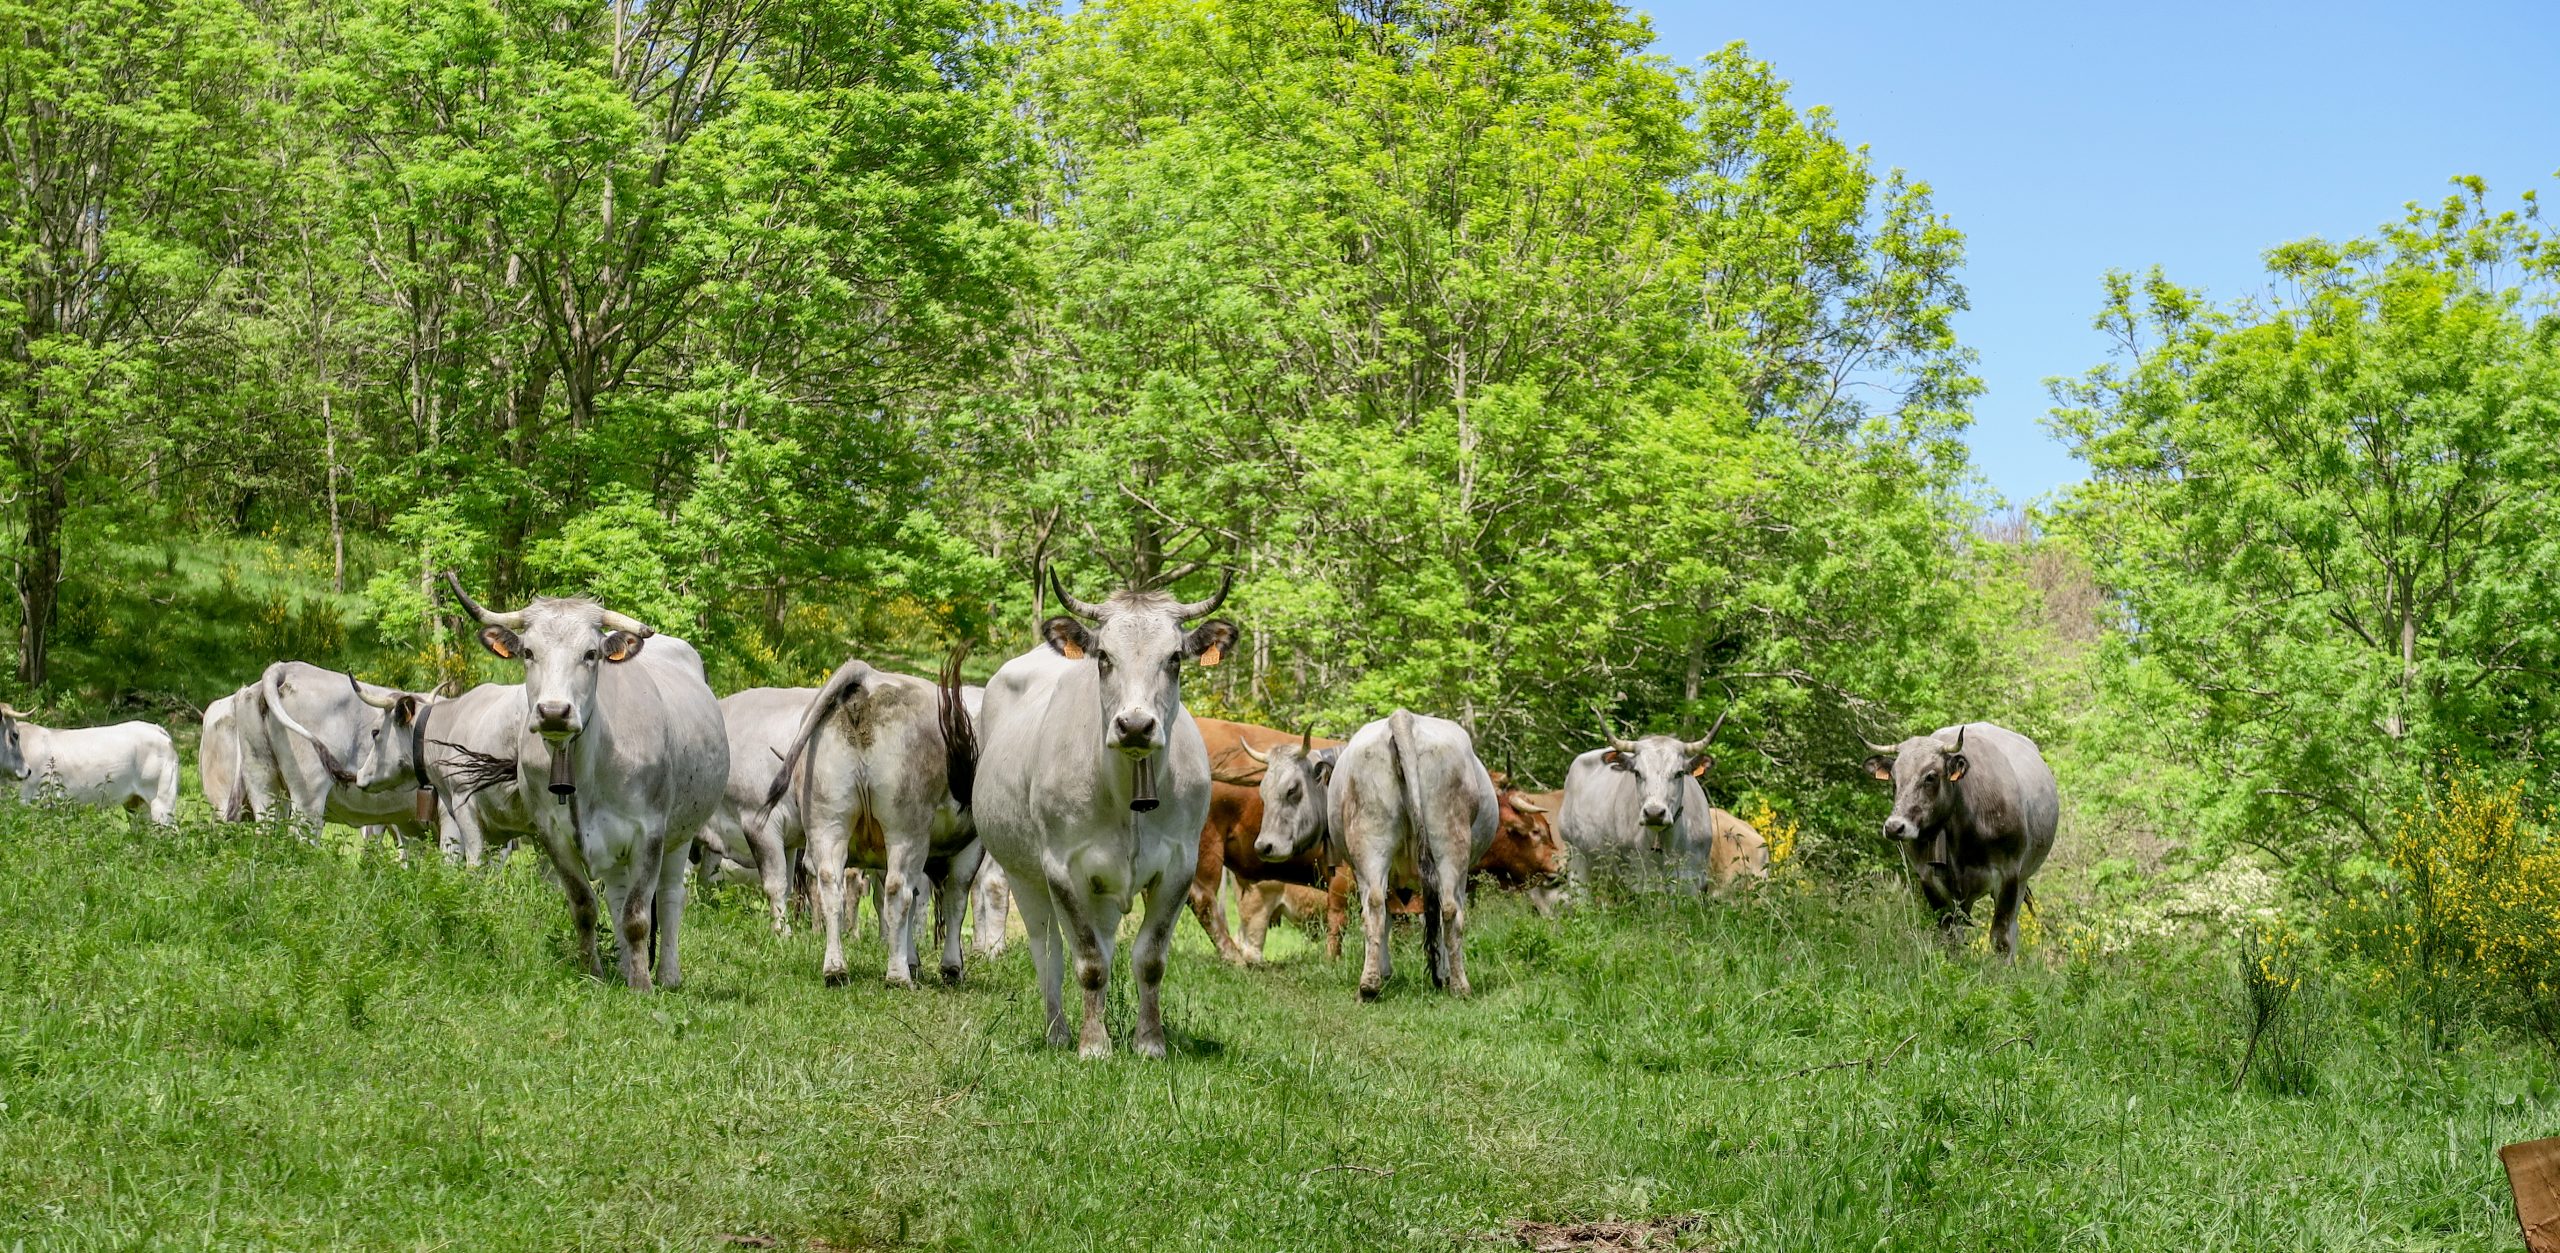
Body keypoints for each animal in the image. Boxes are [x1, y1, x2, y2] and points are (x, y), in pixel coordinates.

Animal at [444, 575, 728, 991]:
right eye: (528, 652)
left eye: (591, 654)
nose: (553, 712)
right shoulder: (551, 834)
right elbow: (585, 905)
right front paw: (592, 973)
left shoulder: (650, 832)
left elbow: (639, 915)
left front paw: (643, 985)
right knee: (616, 897)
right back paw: (625, 965)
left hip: (682, 833)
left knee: (670, 898)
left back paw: (667, 975)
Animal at [763, 659, 987, 989]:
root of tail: (868, 677)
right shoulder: (970, 847)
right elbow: (956, 899)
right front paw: (950, 967)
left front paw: (913, 960)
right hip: (906, 830)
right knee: (897, 891)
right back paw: (897, 977)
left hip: (827, 821)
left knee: (831, 887)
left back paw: (835, 969)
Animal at [969, 570, 1236, 1058]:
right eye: (1105, 658)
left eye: (1174, 658)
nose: (1135, 725)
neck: (1127, 795)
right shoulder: (1062, 867)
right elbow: (1088, 960)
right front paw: (1094, 1045)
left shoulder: (1180, 865)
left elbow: (1149, 959)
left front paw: (1149, 1042)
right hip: (1024, 875)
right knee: (1048, 952)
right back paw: (1058, 1031)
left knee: (1105, 942)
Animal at [1863, 722, 2057, 957]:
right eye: (1894, 778)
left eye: (1930, 776)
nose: (1894, 827)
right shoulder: (1929, 880)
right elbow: (1949, 934)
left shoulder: (2009, 876)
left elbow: (2001, 938)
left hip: (2022, 879)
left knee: (2012, 929)